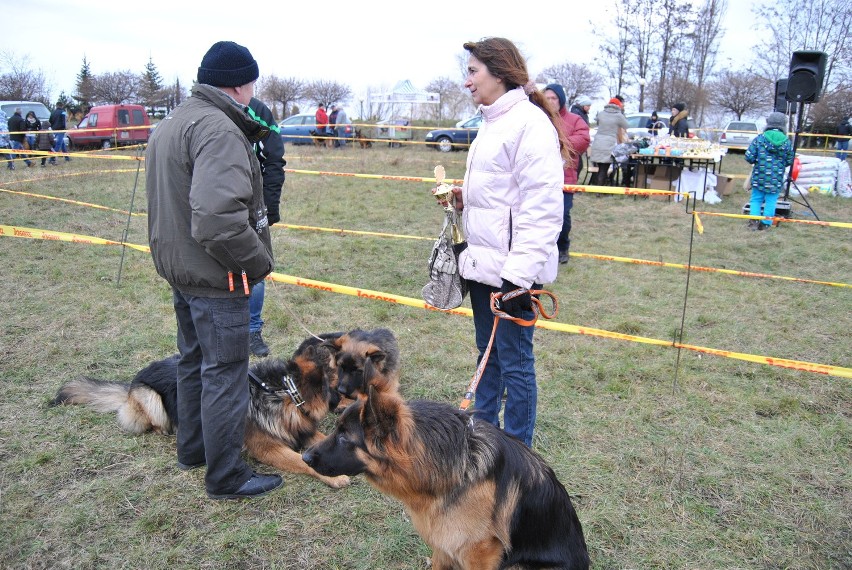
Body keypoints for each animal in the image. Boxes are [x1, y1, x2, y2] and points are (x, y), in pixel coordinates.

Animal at [51, 338, 352, 488]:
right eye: (340, 385)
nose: (347, 401)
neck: (284, 392)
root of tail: (131, 384)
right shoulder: (268, 448)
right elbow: (301, 460)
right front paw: (335, 477)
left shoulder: (304, 431)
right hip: (151, 400)